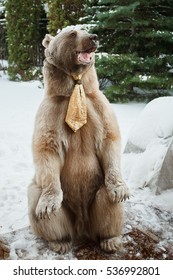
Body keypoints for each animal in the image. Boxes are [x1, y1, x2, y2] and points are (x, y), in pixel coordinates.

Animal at [27, 27, 129, 254]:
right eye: (72, 33)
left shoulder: (97, 105)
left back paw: (110, 239)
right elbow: (47, 148)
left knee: (107, 200)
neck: (76, 88)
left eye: (87, 29)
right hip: (63, 208)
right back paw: (60, 241)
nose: (94, 37)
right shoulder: (52, 111)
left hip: (95, 201)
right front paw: (48, 204)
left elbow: (109, 138)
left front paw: (120, 189)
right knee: (36, 199)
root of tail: (82, 228)